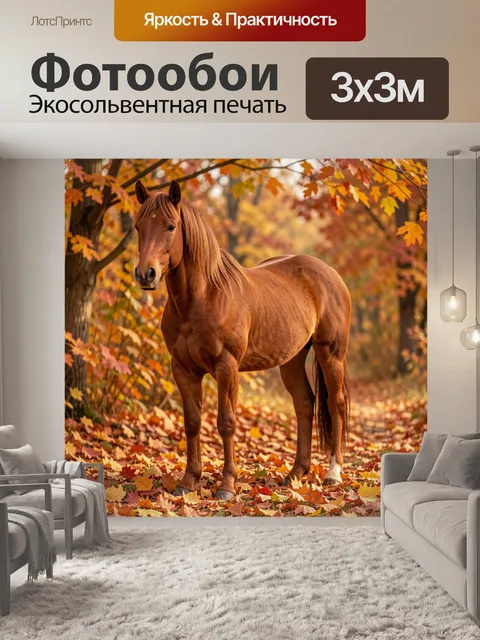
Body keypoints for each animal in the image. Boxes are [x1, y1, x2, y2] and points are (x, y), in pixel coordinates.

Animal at [134, 179, 351, 500]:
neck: (203, 297)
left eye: (171, 226)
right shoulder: (183, 370)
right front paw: (188, 481)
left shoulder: (227, 367)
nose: (145, 274)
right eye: (138, 226)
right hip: (292, 360)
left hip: (330, 353)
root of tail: (330, 274)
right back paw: (295, 474)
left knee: (335, 404)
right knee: (304, 403)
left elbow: (226, 422)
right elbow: (192, 422)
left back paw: (333, 474)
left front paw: (226, 485)